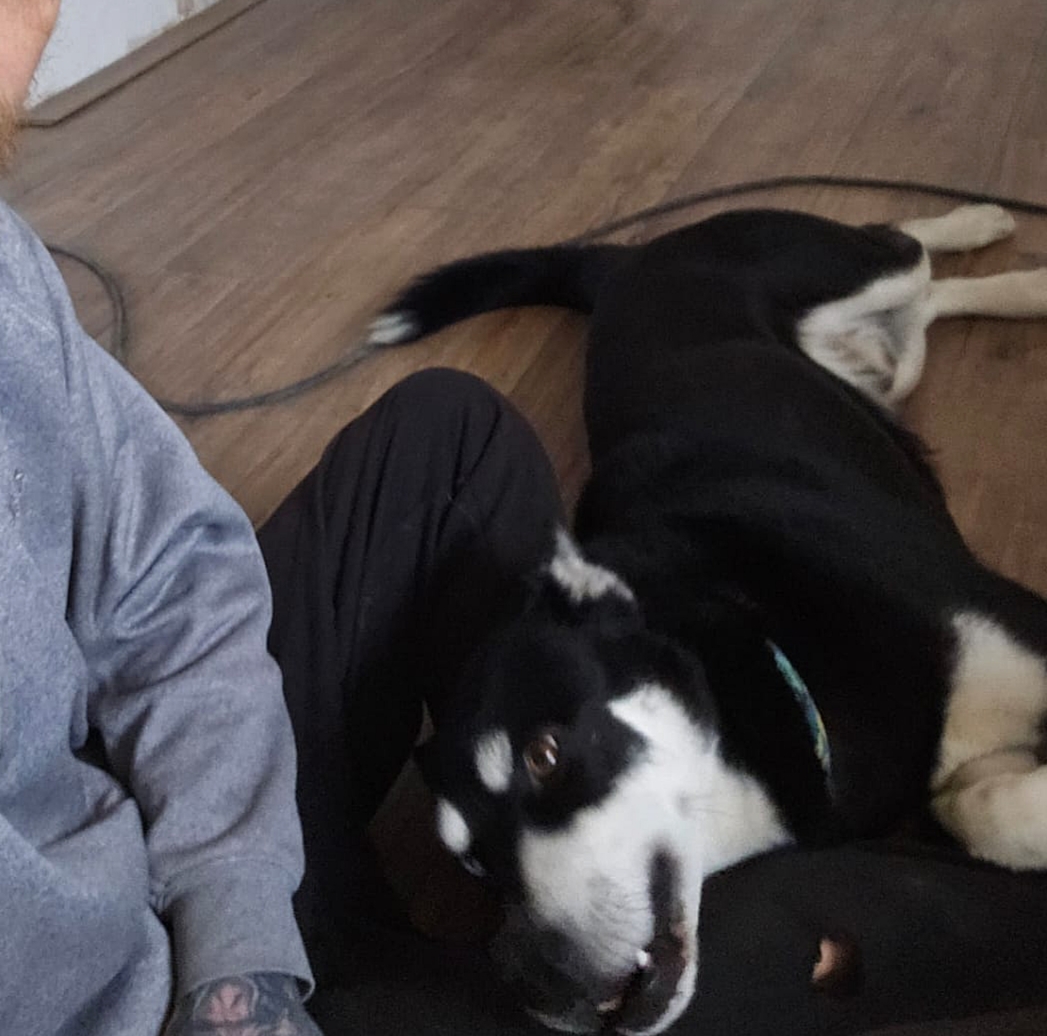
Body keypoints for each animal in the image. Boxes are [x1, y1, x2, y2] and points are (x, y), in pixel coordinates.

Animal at [366, 204, 1047, 1035]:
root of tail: (629, 262)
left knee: (902, 241)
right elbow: (979, 810)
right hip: (887, 364)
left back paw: (978, 224)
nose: (532, 987)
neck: (772, 638)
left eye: (544, 757)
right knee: (924, 308)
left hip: (836, 262)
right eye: (470, 864)